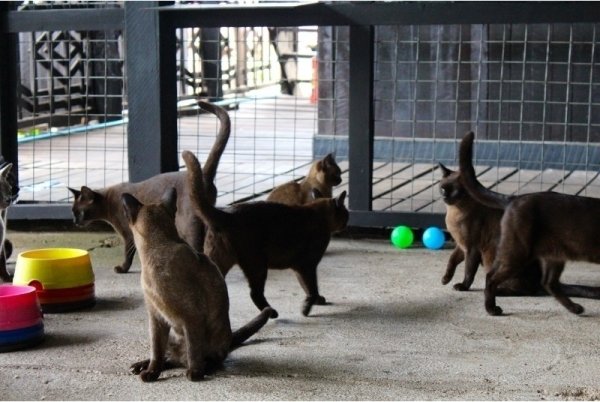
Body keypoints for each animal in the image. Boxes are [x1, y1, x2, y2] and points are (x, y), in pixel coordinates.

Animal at [68, 100, 230, 274]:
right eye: (73, 212)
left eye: (79, 212)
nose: (74, 221)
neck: (107, 202)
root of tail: (203, 174)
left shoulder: (128, 233)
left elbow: (128, 253)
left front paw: (122, 268)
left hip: (188, 225)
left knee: (198, 248)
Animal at [122, 189, 272, 384]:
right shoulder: (156, 317)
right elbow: (156, 352)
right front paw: (151, 373)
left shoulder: (191, 316)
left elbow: (193, 349)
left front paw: (194, 374)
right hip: (170, 335)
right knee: (168, 357)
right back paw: (140, 366)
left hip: (209, 339)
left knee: (206, 358)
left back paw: (203, 367)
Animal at [185, 149, 350, 318]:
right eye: (346, 213)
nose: (348, 221)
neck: (318, 213)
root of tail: (226, 213)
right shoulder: (307, 266)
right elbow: (312, 288)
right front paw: (307, 308)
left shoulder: (299, 268)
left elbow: (308, 287)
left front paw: (316, 301)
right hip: (257, 265)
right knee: (254, 293)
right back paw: (271, 313)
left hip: (222, 261)